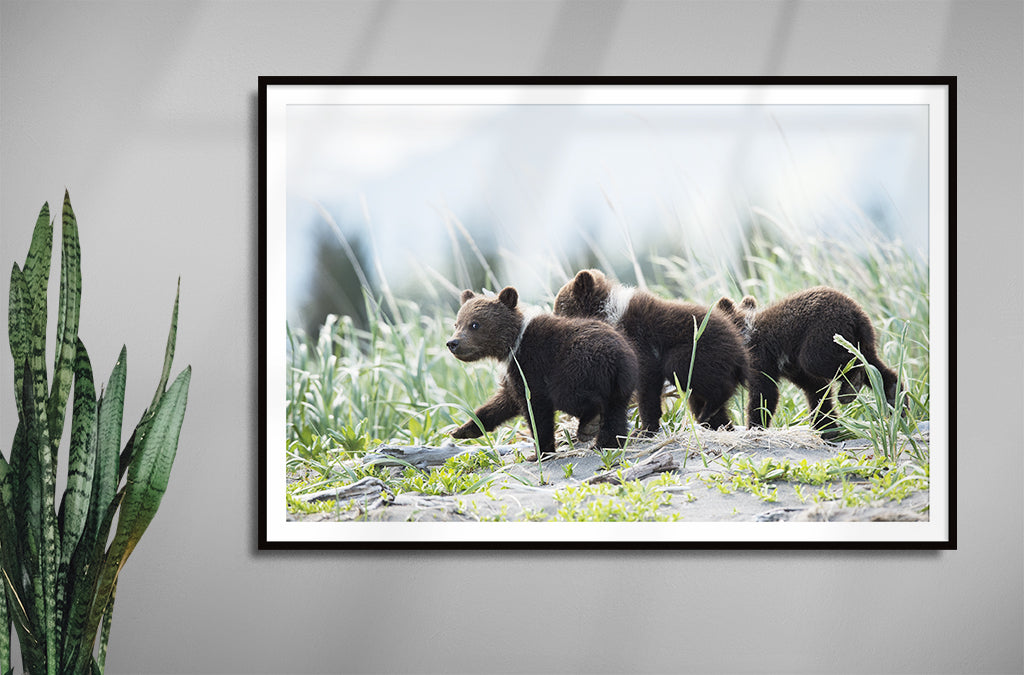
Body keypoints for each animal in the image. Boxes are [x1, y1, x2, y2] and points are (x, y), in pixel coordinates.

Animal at [447, 286, 638, 456]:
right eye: (457, 323)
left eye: (474, 324)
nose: (452, 343)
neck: (512, 346)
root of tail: (617, 359)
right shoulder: (513, 375)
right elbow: (502, 403)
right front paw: (462, 430)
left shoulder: (531, 366)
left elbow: (536, 410)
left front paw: (540, 451)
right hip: (623, 382)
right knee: (616, 412)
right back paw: (608, 442)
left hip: (575, 369)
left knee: (576, 399)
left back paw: (590, 425)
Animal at [553, 269, 748, 435]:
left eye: (558, 309)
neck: (609, 314)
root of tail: (739, 349)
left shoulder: (639, 341)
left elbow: (647, 383)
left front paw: (645, 428)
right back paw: (715, 420)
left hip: (699, 350)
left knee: (687, 371)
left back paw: (709, 409)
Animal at [715, 286, 901, 440]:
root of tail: (855, 312)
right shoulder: (791, 367)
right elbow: (816, 389)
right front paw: (827, 427)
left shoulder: (761, 358)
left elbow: (764, 393)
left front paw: (755, 426)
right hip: (863, 338)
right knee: (875, 368)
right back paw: (896, 398)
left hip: (823, 332)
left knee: (821, 361)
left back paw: (850, 388)